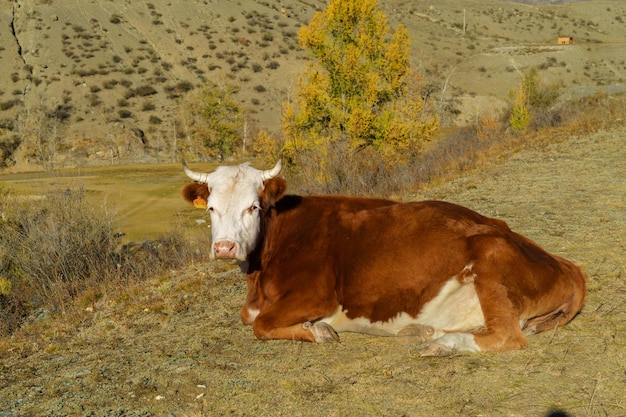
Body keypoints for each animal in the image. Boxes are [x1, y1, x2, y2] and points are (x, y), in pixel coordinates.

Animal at [180, 159, 584, 354]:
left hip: (491, 256)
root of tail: (568, 266)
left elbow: (260, 324)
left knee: (507, 337)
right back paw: (423, 332)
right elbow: (248, 317)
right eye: (212, 208)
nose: (225, 247)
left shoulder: (316, 294)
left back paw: (441, 346)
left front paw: (319, 331)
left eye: (253, 207)